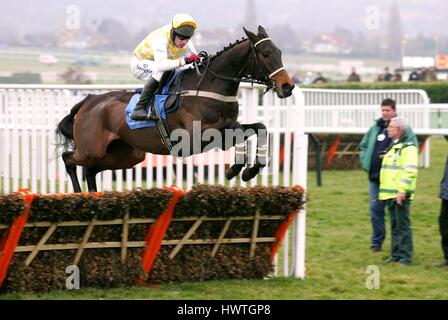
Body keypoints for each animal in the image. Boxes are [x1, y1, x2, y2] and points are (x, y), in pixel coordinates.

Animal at [55, 25, 294, 192]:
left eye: (280, 52)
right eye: (265, 53)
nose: (288, 87)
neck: (209, 86)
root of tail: (88, 102)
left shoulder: (227, 127)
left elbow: (259, 127)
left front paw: (249, 171)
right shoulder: (199, 137)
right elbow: (242, 133)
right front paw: (236, 169)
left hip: (126, 155)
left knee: (90, 169)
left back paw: (92, 196)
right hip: (91, 149)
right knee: (69, 158)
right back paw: (78, 194)